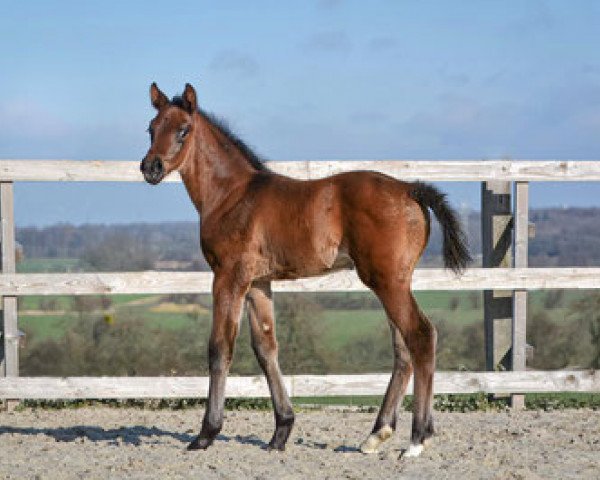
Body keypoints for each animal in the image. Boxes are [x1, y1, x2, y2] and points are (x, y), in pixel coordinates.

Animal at [142, 83, 474, 458]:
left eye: (183, 130)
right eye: (151, 128)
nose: (150, 167)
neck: (232, 194)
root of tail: (410, 189)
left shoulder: (229, 277)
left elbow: (220, 347)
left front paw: (206, 434)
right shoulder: (258, 283)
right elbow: (266, 348)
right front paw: (281, 432)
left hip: (387, 281)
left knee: (420, 335)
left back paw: (417, 440)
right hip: (395, 281)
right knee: (403, 349)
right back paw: (378, 433)